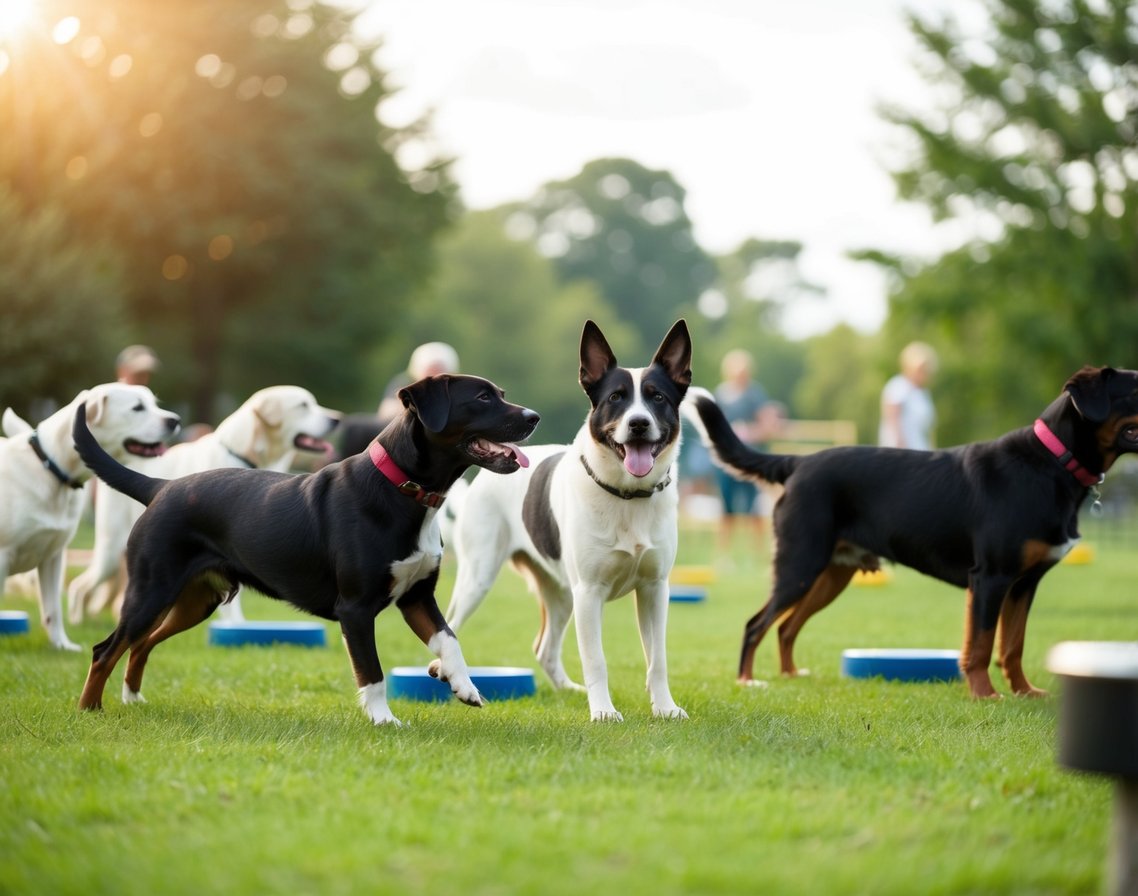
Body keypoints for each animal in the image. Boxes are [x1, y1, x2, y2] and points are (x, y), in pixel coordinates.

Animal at [0, 382, 179, 646]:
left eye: (154, 403)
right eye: (137, 407)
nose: (175, 420)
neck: (50, 467)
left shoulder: (53, 556)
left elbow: (53, 608)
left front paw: (61, 646)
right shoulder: (3, 555)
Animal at [67, 384, 339, 623]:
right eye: (303, 405)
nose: (336, 419)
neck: (245, 455)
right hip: (113, 548)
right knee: (79, 585)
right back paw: (76, 620)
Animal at [446, 323, 691, 724]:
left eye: (658, 398)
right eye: (615, 398)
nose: (639, 424)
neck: (628, 495)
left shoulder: (655, 588)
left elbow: (658, 659)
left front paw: (665, 707)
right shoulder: (589, 593)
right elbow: (596, 660)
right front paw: (604, 711)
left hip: (560, 592)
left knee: (544, 647)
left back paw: (569, 690)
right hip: (478, 577)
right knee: (451, 623)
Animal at [682, 366, 1138, 701]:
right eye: (1134, 388)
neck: (1052, 463)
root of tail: (799, 462)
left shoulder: (1024, 584)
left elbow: (1013, 646)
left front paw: (1025, 693)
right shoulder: (991, 578)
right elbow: (980, 645)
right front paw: (985, 695)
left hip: (830, 575)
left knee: (786, 627)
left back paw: (792, 675)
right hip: (799, 565)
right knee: (756, 624)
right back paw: (747, 681)